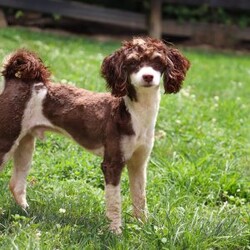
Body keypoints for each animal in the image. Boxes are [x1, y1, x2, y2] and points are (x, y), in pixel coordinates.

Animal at [0, 37, 189, 234]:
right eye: (132, 62)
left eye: (158, 61)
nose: (148, 76)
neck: (134, 114)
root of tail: (14, 79)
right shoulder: (112, 164)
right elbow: (115, 202)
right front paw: (115, 232)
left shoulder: (139, 163)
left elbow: (140, 197)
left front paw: (142, 226)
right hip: (6, 140)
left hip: (26, 143)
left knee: (16, 184)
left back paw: (25, 212)